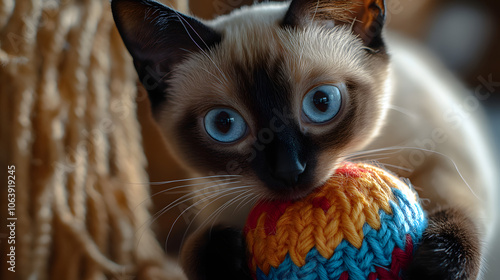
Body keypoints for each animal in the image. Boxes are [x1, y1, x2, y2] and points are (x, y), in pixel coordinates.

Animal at [111, 0, 498, 278]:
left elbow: (462, 209)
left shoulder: (447, 160)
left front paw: (438, 263)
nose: (289, 170)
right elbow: (193, 251)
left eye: (322, 102)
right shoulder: (216, 201)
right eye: (224, 124)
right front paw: (225, 256)